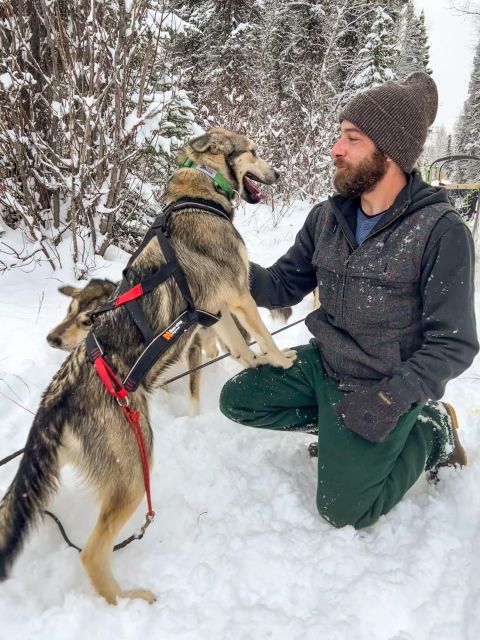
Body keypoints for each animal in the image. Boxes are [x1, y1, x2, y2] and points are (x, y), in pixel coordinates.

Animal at [0, 127, 296, 604]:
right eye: (252, 151)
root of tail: (55, 401)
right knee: (93, 553)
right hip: (134, 474)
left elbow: (240, 347)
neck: (201, 190)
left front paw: (253, 363)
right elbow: (264, 336)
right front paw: (281, 359)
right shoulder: (237, 296)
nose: (279, 174)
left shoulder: (215, 310)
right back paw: (126, 601)